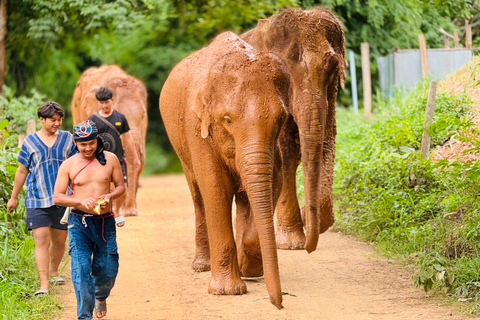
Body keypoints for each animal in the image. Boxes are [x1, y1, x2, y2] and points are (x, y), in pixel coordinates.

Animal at [159, 31, 290, 308]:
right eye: (227, 120)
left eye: (281, 119)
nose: (279, 303)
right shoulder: (196, 123)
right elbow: (215, 186)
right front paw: (226, 291)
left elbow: (275, 178)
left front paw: (249, 268)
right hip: (180, 146)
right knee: (198, 194)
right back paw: (201, 266)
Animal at [242, 8, 346, 252]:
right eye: (284, 70)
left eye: (333, 67)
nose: (310, 247)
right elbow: (286, 152)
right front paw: (292, 243)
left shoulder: (330, 92)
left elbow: (327, 139)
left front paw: (310, 218)